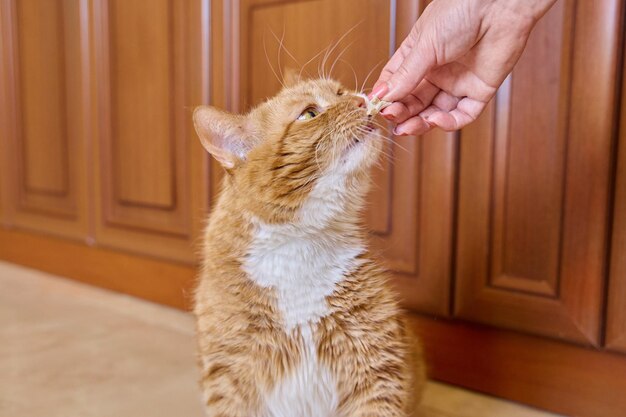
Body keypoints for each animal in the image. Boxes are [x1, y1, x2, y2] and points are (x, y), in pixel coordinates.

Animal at [190, 75, 424, 416]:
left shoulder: (377, 368)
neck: (301, 243)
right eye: (309, 114)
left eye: (340, 92)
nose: (359, 99)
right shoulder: (229, 379)